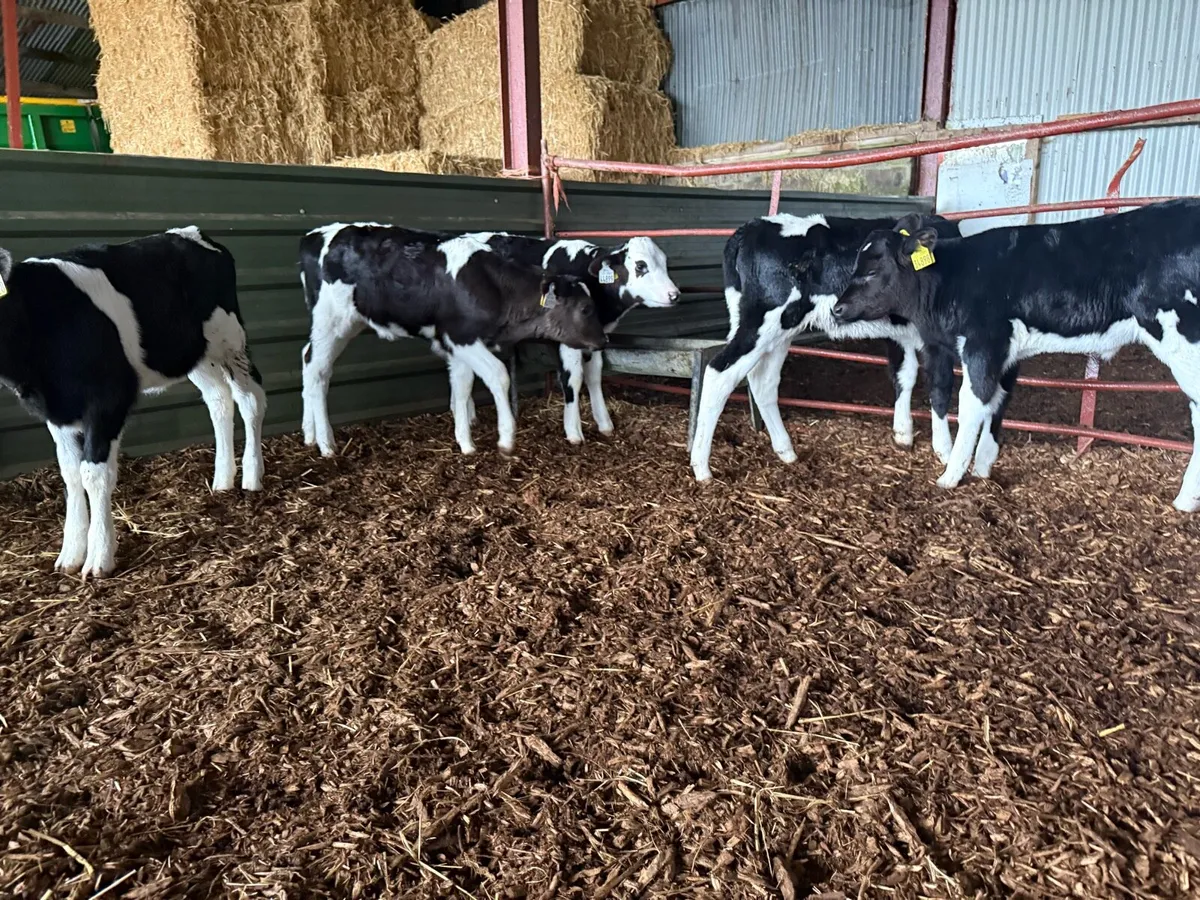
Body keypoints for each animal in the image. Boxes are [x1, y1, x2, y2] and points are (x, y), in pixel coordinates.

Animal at [0, 227, 266, 578]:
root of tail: (191, 232)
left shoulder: (108, 400)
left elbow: (93, 474)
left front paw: (99, 557)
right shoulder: (56, 413)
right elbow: (70, 474)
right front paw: (70, 553)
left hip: (230, 339)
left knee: (251, 399)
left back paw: (252, 476)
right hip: (195, 353)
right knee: (218, 399)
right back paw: (222, 479)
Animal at [299, 223, 607, 457]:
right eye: (585, 308)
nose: (604, 340)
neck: (492, 284)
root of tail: (314, 235)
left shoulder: (457, 346)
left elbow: (461, 386)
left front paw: (466, 443)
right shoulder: (462, 337)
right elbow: (498, 375)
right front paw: (506, 438)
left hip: (345, 324)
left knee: (307, 358)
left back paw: (309, 434)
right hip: (330, 320)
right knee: (318, 370)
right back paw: (326, 444)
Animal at [688, 212, 967, 483]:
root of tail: (750, 228)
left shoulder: (899, 331)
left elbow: (904, 375)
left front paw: (903, 433)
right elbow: (940, 388)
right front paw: (945, 450)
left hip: (780, 329)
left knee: (762, 381)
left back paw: (786, 451)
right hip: (761, 320)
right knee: (719, 373)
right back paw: (702, 468)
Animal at [832, 200, 1200, 511]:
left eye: (871, 271)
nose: (837, 308)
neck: (954, 278)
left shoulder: (983, 343)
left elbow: (972, 403)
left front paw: (952, 475)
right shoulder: (1005, 353)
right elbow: (994, 401)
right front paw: (982, 466)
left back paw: (1185, 500)